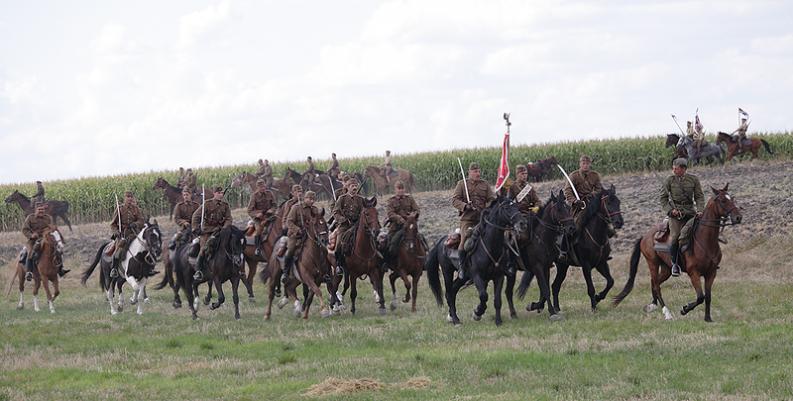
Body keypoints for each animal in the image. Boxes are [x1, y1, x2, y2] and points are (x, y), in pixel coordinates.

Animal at [426, 196, 524, 324]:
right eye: (507, 208)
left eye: (516, 206)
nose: (522, 223)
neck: (490, 246)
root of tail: (441, 240)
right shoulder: (477, 276)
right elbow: (483, 296)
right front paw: (477, 312)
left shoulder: (499, 277)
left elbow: (497, 300)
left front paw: (498, 321)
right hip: (447, 272)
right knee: (448, 293)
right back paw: (455, 320)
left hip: (463, 277)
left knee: (453, 290)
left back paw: (453, 317)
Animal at [512, 189, 576, 318]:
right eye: (559, 209)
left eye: (568, 207)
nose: (571, 228)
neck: (540, 238)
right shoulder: (538, 268)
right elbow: (545, 289)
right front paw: (551, 311)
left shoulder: (545, 267)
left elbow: (545, 289)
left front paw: (535, 306)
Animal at [544, 184, 624, 312]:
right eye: (608, 203)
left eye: (618, 202)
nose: (619, 222)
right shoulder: (586, 266)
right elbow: (591, 288)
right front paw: (594, 307)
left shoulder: (601, 263)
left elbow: (610, 281)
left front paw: (598, 297)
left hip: (563, 266)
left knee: (555, 286)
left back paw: (557, 308)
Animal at [612, 185, 744, 322]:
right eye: (723, 201)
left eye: (732, 198)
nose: (738, 217)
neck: (705, 241)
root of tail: (645, 236)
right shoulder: (694, 273)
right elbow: (700, 297)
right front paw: (685, 309)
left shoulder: (711, 273)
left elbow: (708, 297)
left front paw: (708, 318)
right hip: (652, 263)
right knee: (656, 285)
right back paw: (667, 313)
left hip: (666, 268)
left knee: (655, 282)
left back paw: (652, 305)